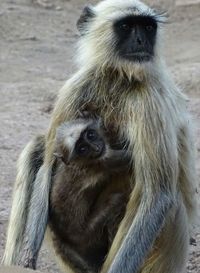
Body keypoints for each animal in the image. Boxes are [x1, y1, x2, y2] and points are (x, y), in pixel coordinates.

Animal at [47, 111, 131, 272]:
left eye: (90, 135)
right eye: (83, 149)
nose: (96, 147)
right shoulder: (104, 163)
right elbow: (129, 159)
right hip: (87, 232)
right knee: (115, 199)